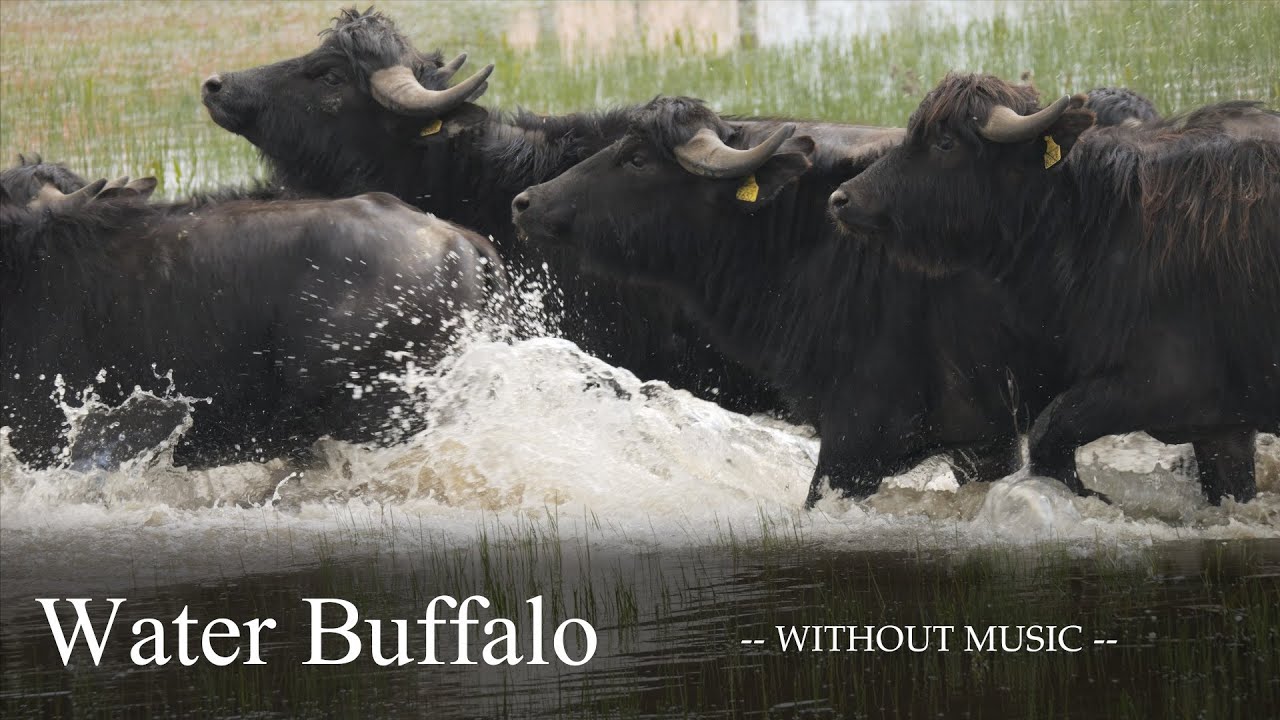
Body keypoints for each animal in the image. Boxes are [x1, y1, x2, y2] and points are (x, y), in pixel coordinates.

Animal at [830, 74, 1278, 504]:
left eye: (944, 142)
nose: (841, 198)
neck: (1101, 220)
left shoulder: (1163, 385)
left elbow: (1050, 431)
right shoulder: (1222, 429)